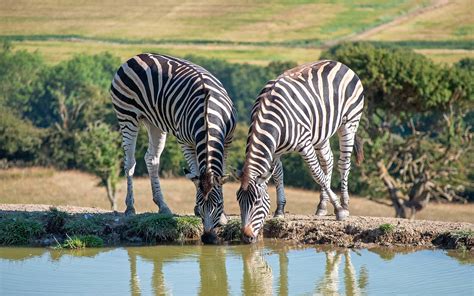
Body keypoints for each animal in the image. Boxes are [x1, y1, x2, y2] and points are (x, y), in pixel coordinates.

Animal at [111, 53, 237, 243]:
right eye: (201, 205)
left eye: (219, 204)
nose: (208, 239)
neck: (208, 115)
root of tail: (136, 56)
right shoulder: (185, 142)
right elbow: (195, 171)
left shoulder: (227, 141)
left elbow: (218, 172)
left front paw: (222, 217)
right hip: (127, 115)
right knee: (129, 162)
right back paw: (130, 208)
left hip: (154, 122)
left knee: (151, 158)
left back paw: (162, 206)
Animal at [233, 60, 362, 243]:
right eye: (238, 200)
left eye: (257, 202)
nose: (246, 237)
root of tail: (339, 63)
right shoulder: (275, 151)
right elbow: (278, 175)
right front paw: (279, 210)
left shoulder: (305, 144)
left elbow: (316, 174)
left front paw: (339, 210)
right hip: (321, 133)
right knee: (328, 161)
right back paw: (322, 206)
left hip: (349, 122)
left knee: (343, 163)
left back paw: (344, 203)